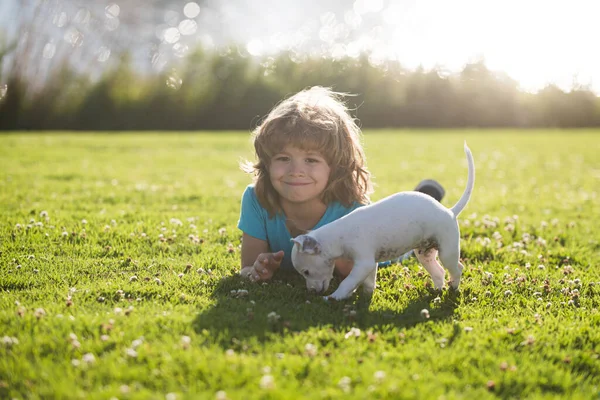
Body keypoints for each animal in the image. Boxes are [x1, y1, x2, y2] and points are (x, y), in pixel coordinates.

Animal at [290, 142, 474, 298]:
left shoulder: (363, 263)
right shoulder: (370, 265)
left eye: (306, 272)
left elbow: (347, 282)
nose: (311, 292)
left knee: (458, 269)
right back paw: (436, 291)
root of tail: (449, 212)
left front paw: (335, 297)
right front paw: (363, 297)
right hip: (425, 254)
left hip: (447, 251)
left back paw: (453, 288)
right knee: (439, 272)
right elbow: (367, 283)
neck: (339, 235)